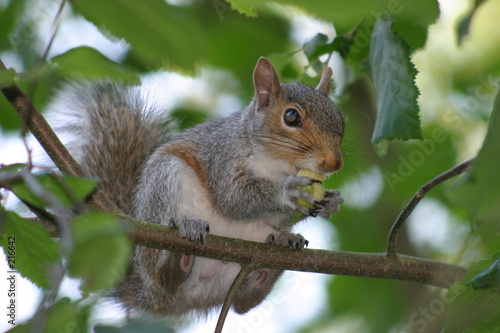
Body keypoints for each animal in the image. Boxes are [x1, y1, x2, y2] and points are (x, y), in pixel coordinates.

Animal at [49, 57, 344, 316]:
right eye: (291, 116)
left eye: (341, 119)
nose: (334, 163)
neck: (279, 165)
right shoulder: (223, 158)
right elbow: (233, 198)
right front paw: (288, 192)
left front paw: (330, 201)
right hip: (164, 180)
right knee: (163, 277)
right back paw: (178, 252)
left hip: (235, 276)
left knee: (242, 303)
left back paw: (276, 255)